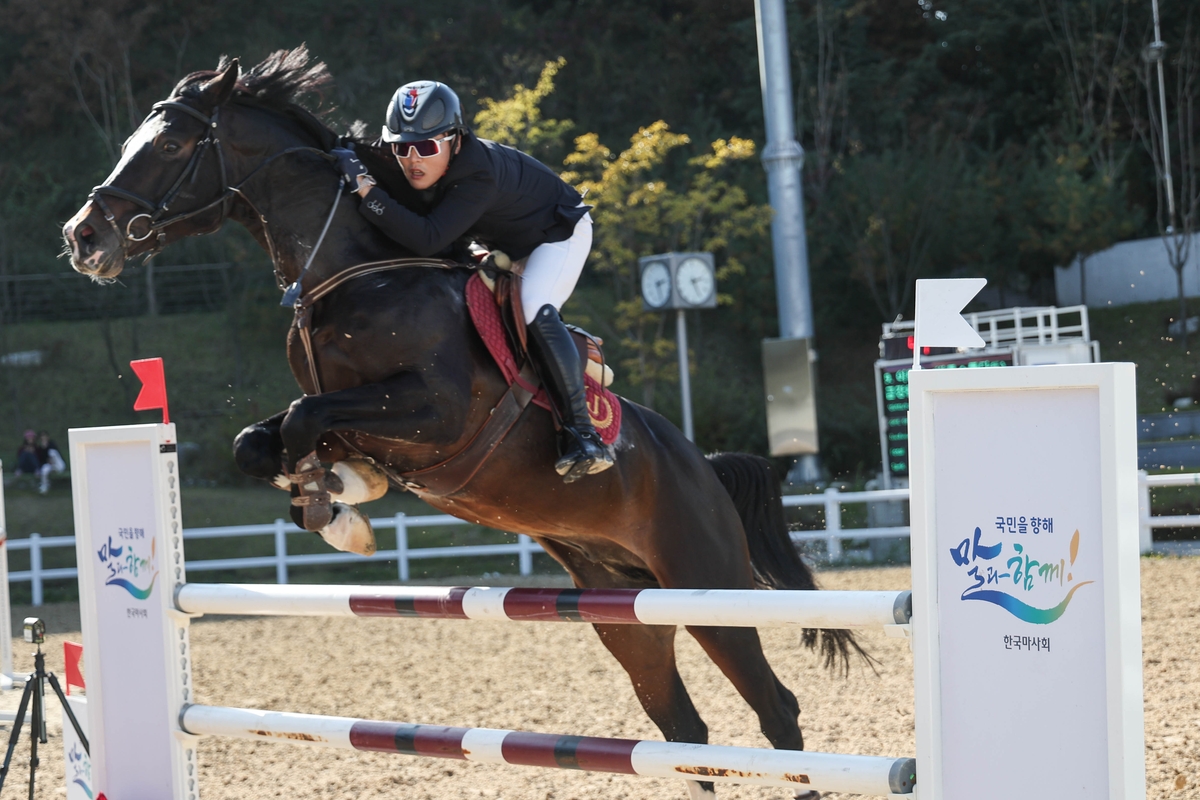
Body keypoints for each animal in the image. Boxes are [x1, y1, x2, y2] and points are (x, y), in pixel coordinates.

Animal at [63, 47, 864, 796]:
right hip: (623, 610)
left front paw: (338, 504)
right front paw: (338, 497)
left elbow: (301, 421)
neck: (349, 275)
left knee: (775, 709)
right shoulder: (361, 416)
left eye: (170, 145)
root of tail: (707, 469)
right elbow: (260, 443)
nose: (82, 237)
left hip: (706, 586)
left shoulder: (438, 415)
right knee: (680, 729)